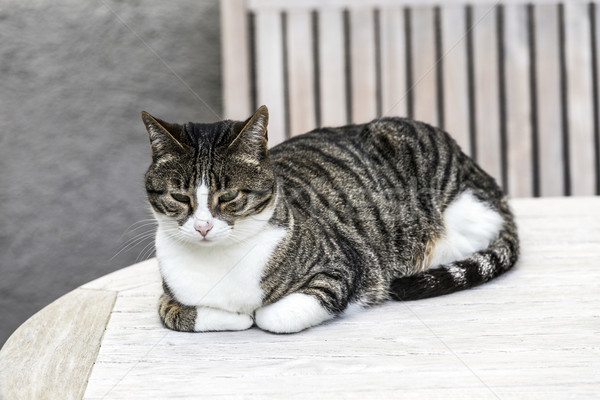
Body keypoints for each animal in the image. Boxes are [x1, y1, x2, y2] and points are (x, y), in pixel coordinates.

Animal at [143, 104, 516, 332]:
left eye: (229, 197)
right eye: (180, 197)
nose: (203, 226)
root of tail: (477, 170)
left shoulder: (340, 269)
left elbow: (272, 315)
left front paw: (250, 315)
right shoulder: (168, 294)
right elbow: (171, 313)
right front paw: (231, 316)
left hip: (458, 210)